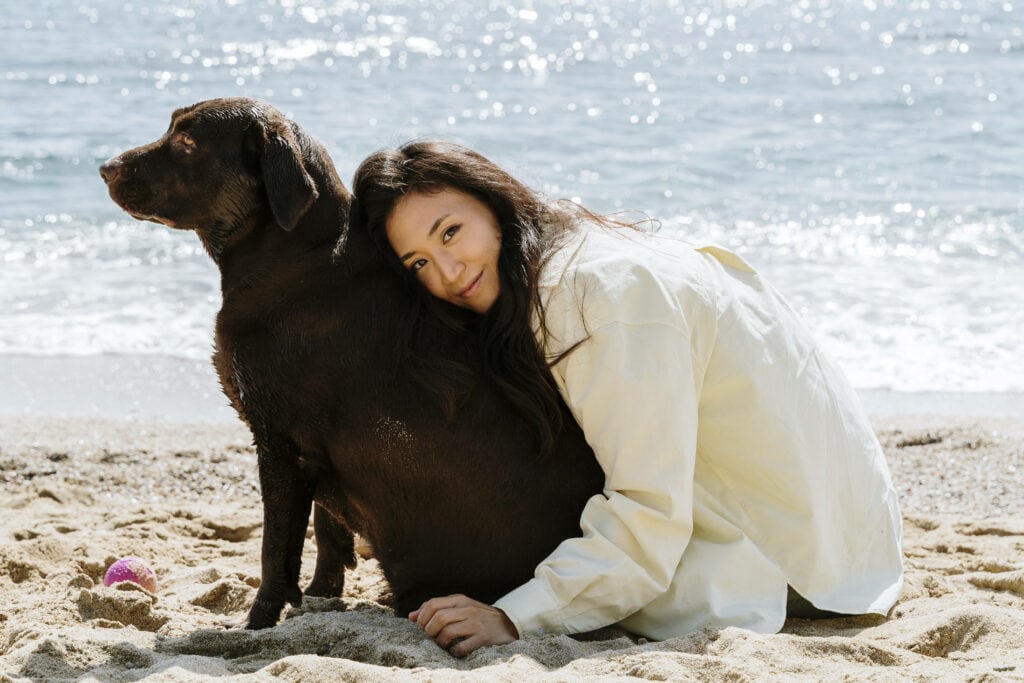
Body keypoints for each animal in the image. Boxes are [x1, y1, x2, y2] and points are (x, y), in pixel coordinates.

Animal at [97, 98, 598, 634]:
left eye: (187, 142)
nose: (105, 167)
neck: (293, 252)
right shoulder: (310, 450)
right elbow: (325, 525)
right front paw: (322, 593)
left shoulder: (280, 445)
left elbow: (276, 548)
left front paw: (258, 621)